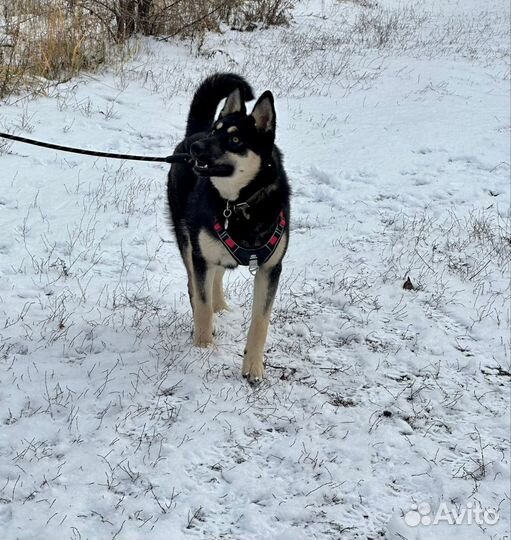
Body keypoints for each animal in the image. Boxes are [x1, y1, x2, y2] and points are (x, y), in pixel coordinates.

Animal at [166, 73, 290, 384]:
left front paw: (253, 368)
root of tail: (192, 134)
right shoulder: (200, 256)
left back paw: (221, 307)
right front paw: (203, 348)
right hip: (188, 241)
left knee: (218, 275)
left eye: (235, 139)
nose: (197, 149)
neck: (239, 204)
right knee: (197, 285)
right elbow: (201, 304)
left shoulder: (271, 268)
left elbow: (260, 322)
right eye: (215, 131)